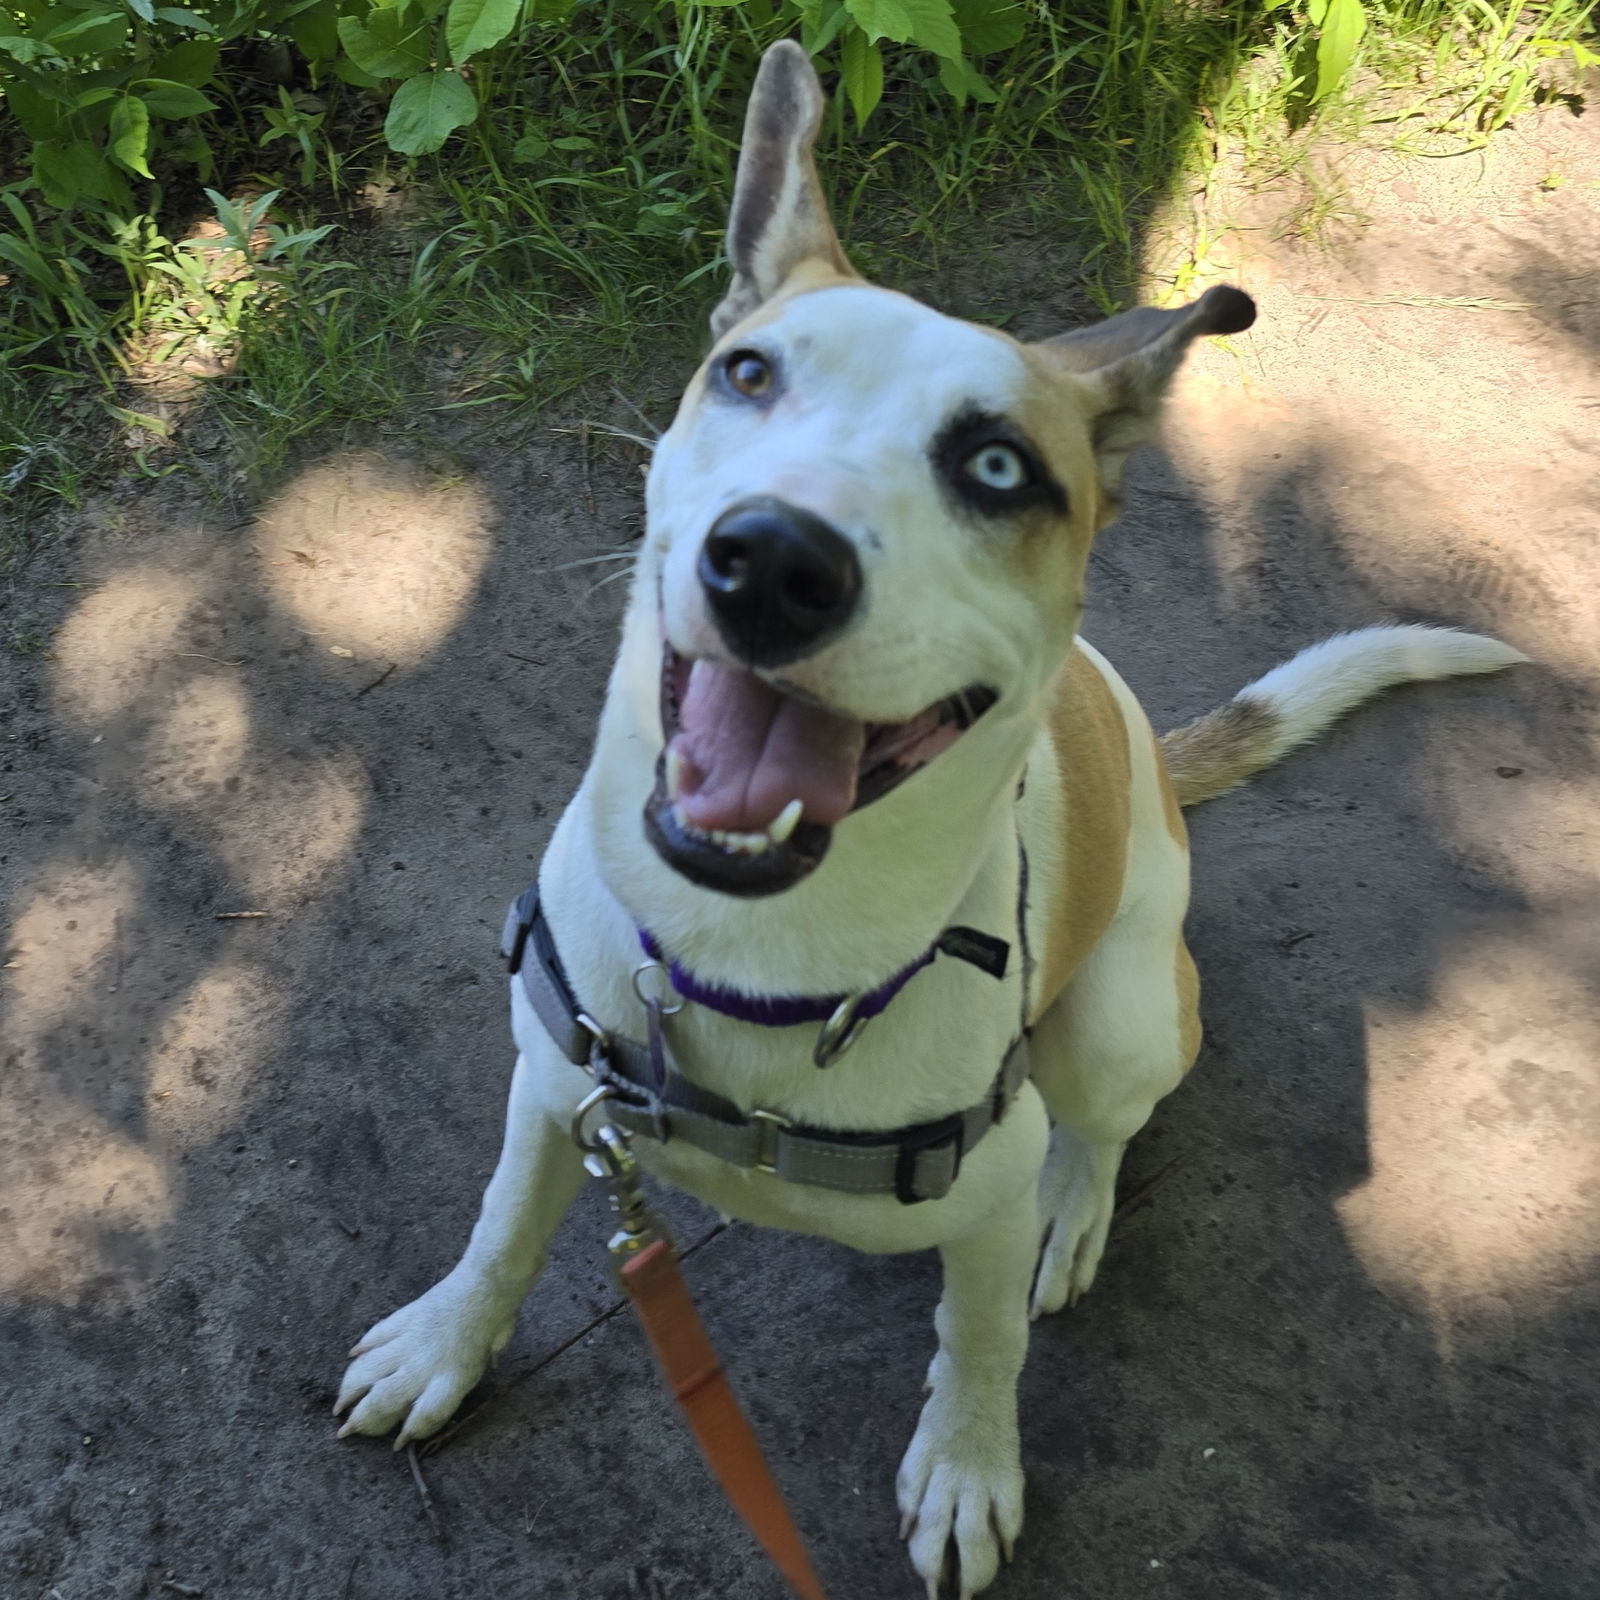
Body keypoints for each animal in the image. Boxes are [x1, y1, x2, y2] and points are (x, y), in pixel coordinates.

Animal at [337, 40, 1523, 1600]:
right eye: (749, 372)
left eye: (1000, 470)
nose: (773, 561)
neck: (753, 956)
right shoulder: (557, 1081)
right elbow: (499, 1228)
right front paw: (443, 1343)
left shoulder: (983, 1189)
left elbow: (981, 1335)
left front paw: (967, 1468)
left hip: (1119, 1016)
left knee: (1106, 1129)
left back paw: (1078, 1210)